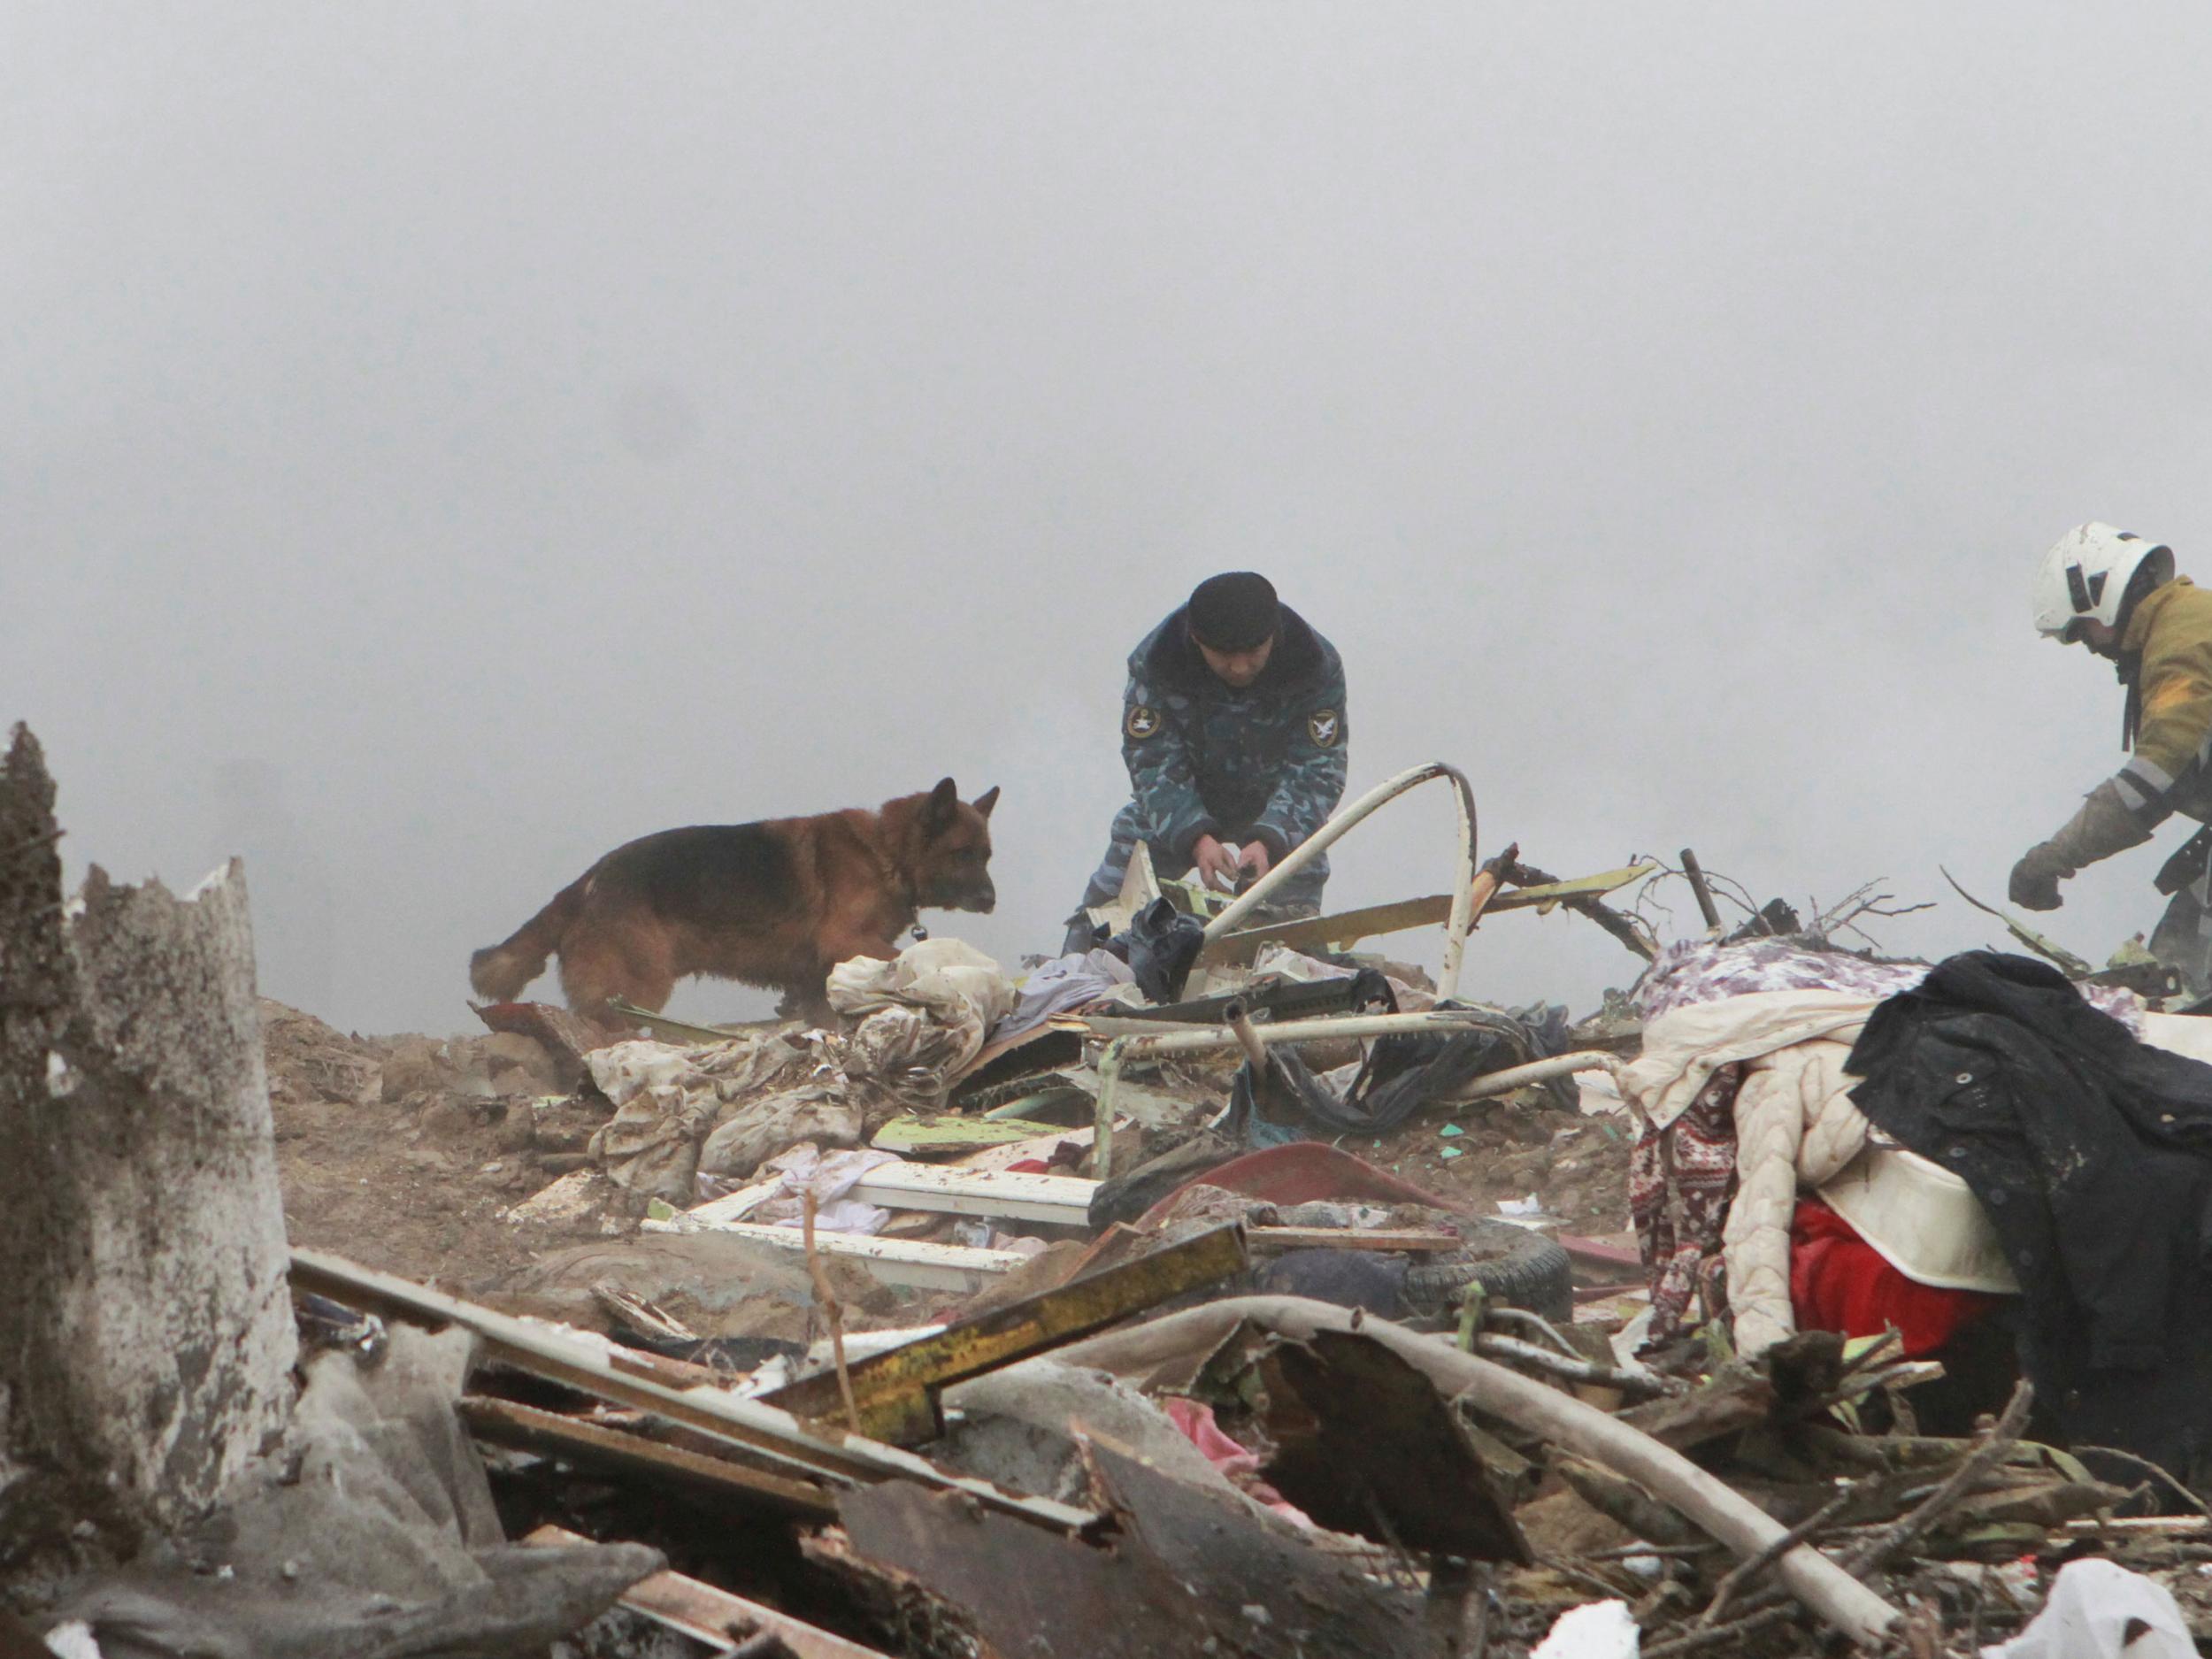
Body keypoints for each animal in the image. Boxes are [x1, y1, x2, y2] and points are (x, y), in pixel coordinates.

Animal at [471, 779, 1000, 1026]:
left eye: (987, 855)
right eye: (963, 854)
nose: (992, 901)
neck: (886, 851)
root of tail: (586, 882)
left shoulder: (813, 980)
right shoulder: (845, 939)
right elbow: (902, 955)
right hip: (636, 993)